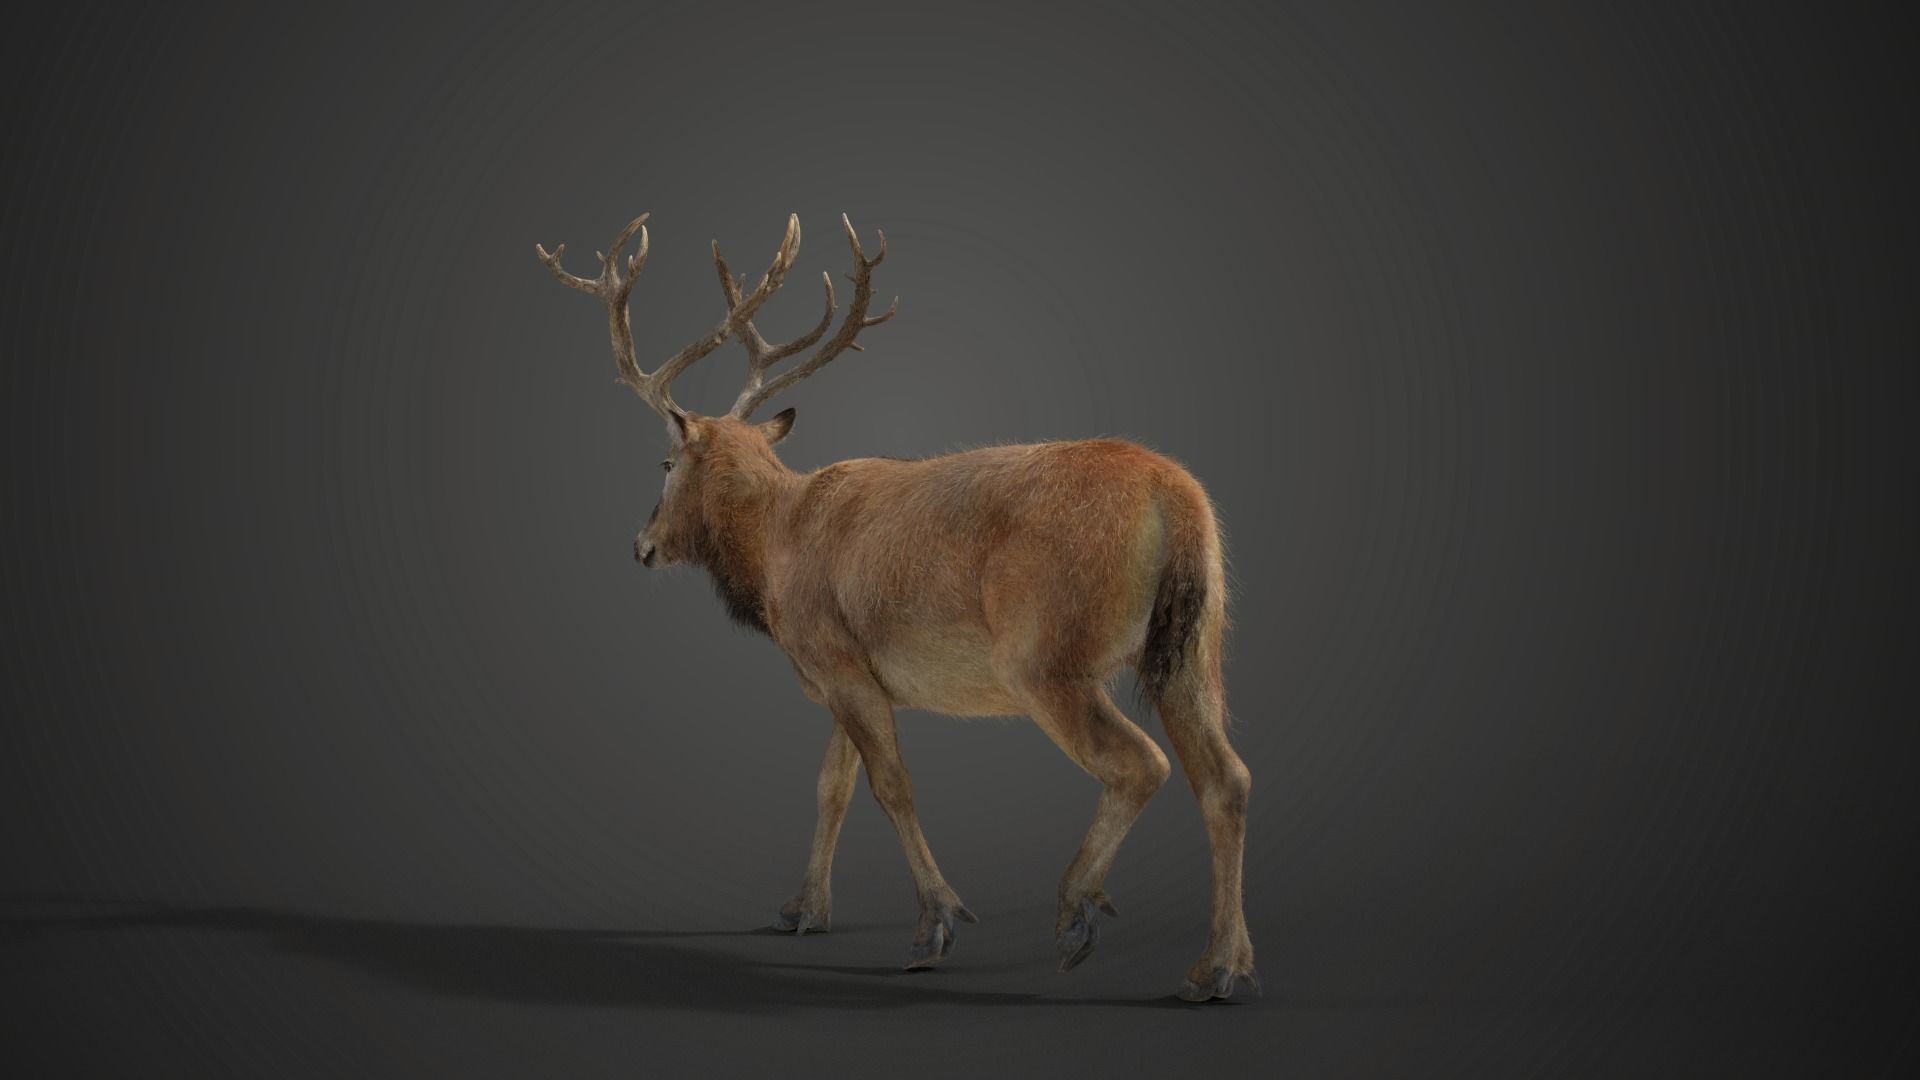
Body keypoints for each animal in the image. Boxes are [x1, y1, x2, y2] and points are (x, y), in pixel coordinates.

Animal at [533, 211, 1256, 1001]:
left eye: (665, 463)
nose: (642, 545)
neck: (775, 555)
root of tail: (1177, 497)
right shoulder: (851, 675)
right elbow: (832, 786)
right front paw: (802, 909)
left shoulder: (834, 656)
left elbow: (890, 786)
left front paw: (936, 922)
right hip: (1193, 648)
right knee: (1228, 778)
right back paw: (1220, 967)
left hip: (1044, 654)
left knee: (1140, 763)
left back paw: (1078, 912)